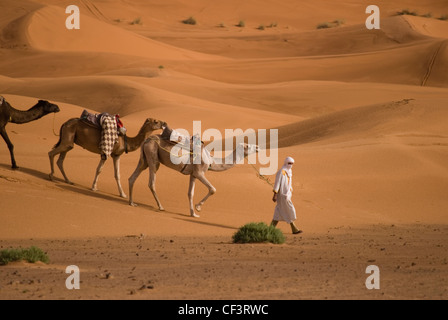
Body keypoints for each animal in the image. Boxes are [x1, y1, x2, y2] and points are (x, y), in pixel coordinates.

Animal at [128, 132, 260, 218]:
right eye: (247, 146)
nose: (258, 147)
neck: (211, 160)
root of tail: (147, 139)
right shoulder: (199, 172)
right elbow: (213, 189)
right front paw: (198, 207)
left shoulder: (193, 175)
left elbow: (190, 193)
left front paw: (193, 214)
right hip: (153, 156)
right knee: (151, 182)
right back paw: (160, 206)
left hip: (144, 159)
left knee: (132, 177)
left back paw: (131, 202)